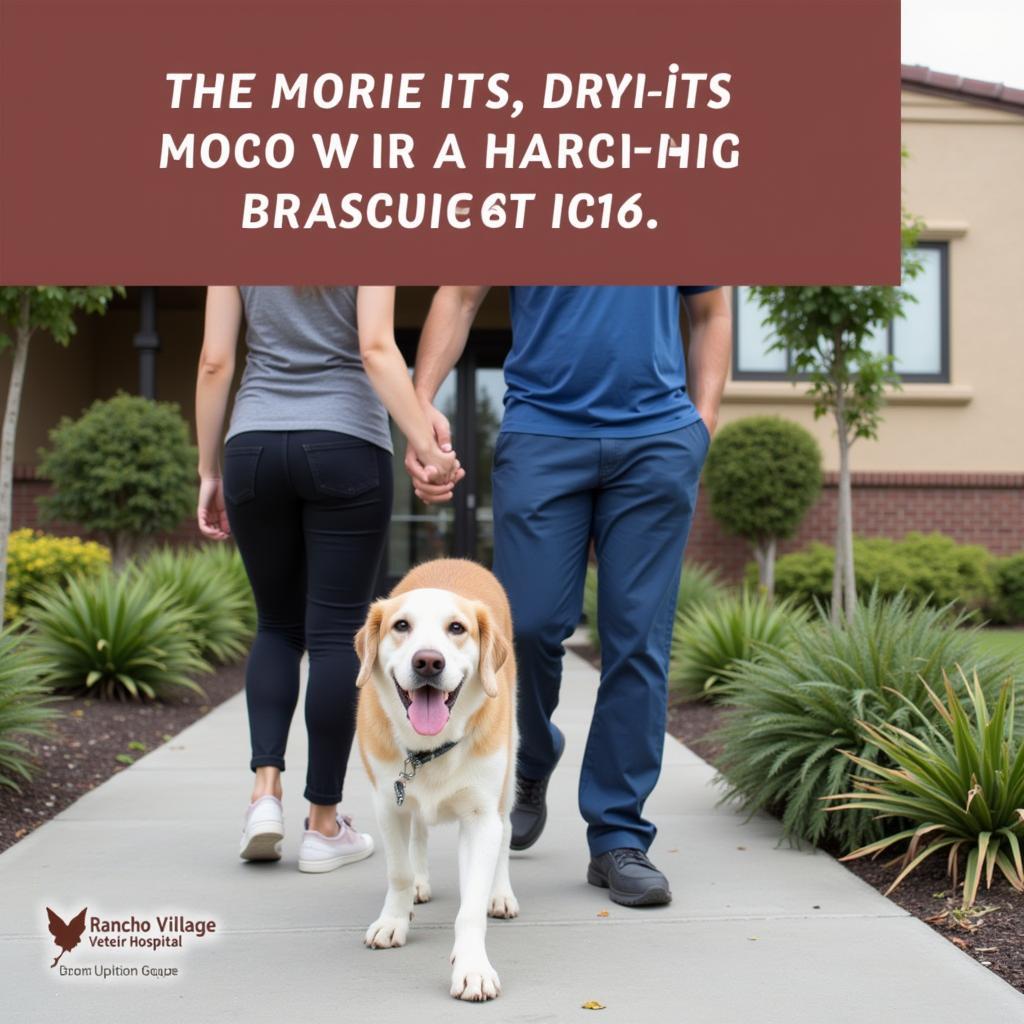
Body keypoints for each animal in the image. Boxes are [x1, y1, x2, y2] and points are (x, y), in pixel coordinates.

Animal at [358, 561, 520, 999]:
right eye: (401, 625)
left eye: (457, 628)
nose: (428, 662)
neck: (429, 748)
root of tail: (457, 560)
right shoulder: (387, 804)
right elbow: (398, 871)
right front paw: (393, 920)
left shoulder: (481, 818)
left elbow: (471, 908)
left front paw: (472, 967)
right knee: (419, 832)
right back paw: (419, 882)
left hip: (508, 777)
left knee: (507, 831)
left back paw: (501, 893)